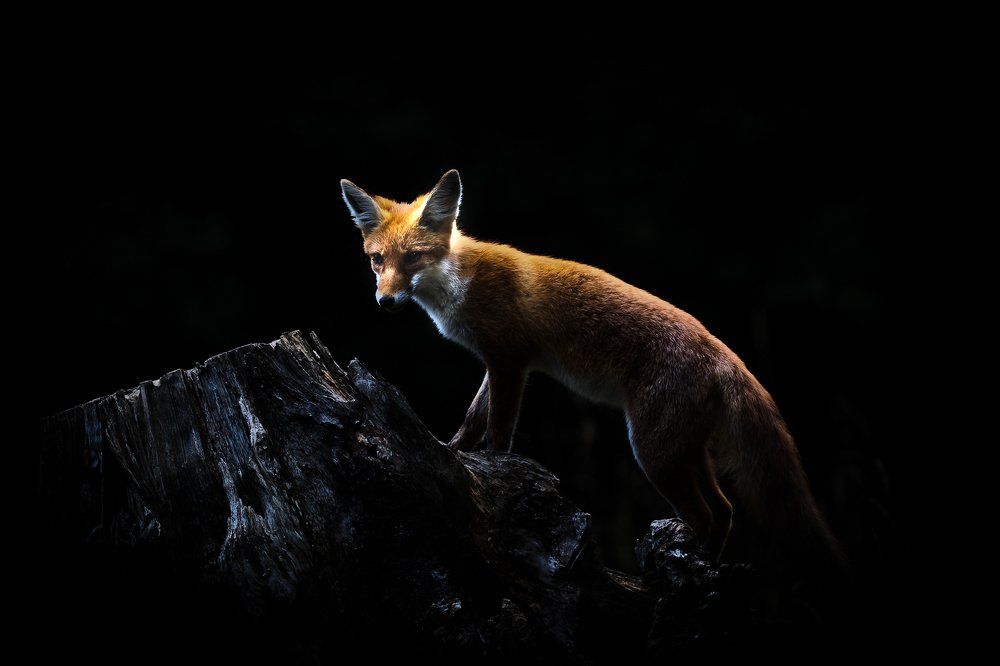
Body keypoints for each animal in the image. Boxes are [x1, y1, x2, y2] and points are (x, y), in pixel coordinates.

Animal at [340, 169, 845, 578]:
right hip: (685, 451)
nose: (385, 301)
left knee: (707, 514)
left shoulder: (510, 360)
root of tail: (723, 352)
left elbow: (499, 429)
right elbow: (471, 419)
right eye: (377, 260)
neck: (457, 282)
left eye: (413, 259)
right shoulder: (495, 364)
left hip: (654, 452)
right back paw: (708, 566)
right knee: (724, 511)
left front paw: (493, 470)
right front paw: (451, 452)